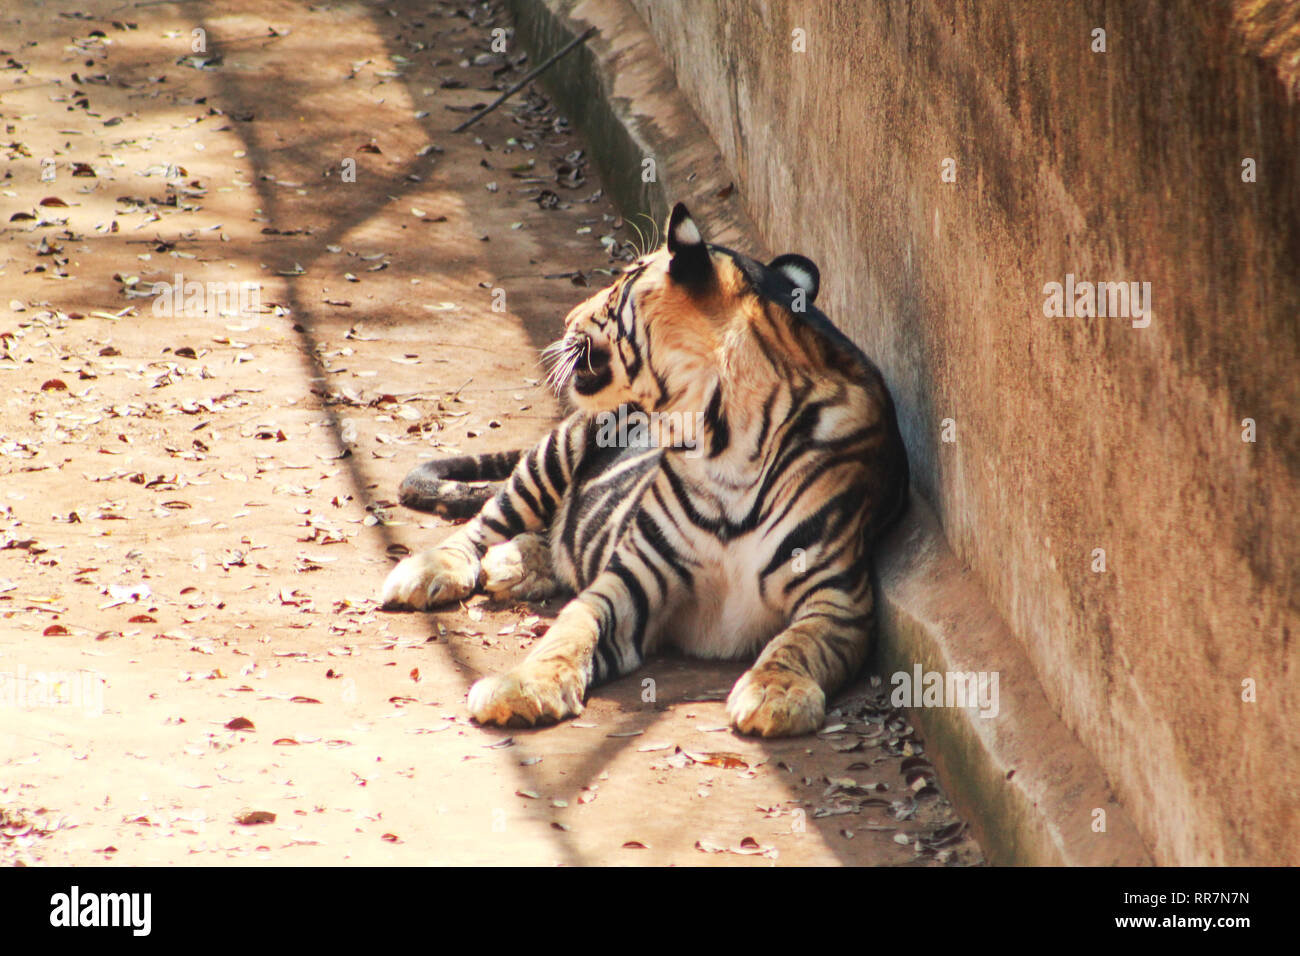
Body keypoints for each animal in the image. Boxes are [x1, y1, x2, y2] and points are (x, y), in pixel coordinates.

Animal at [381, 203, 909, 737]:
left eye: (620, 286)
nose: (567, 319)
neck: (725, 442)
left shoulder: (838, 598)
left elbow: (796, 645)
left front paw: (775, 695)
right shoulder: (633, 575)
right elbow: (570, 628)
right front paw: (522, 687)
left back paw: (511, 566)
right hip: (558, 449)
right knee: (485, 524)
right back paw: (431, 571)